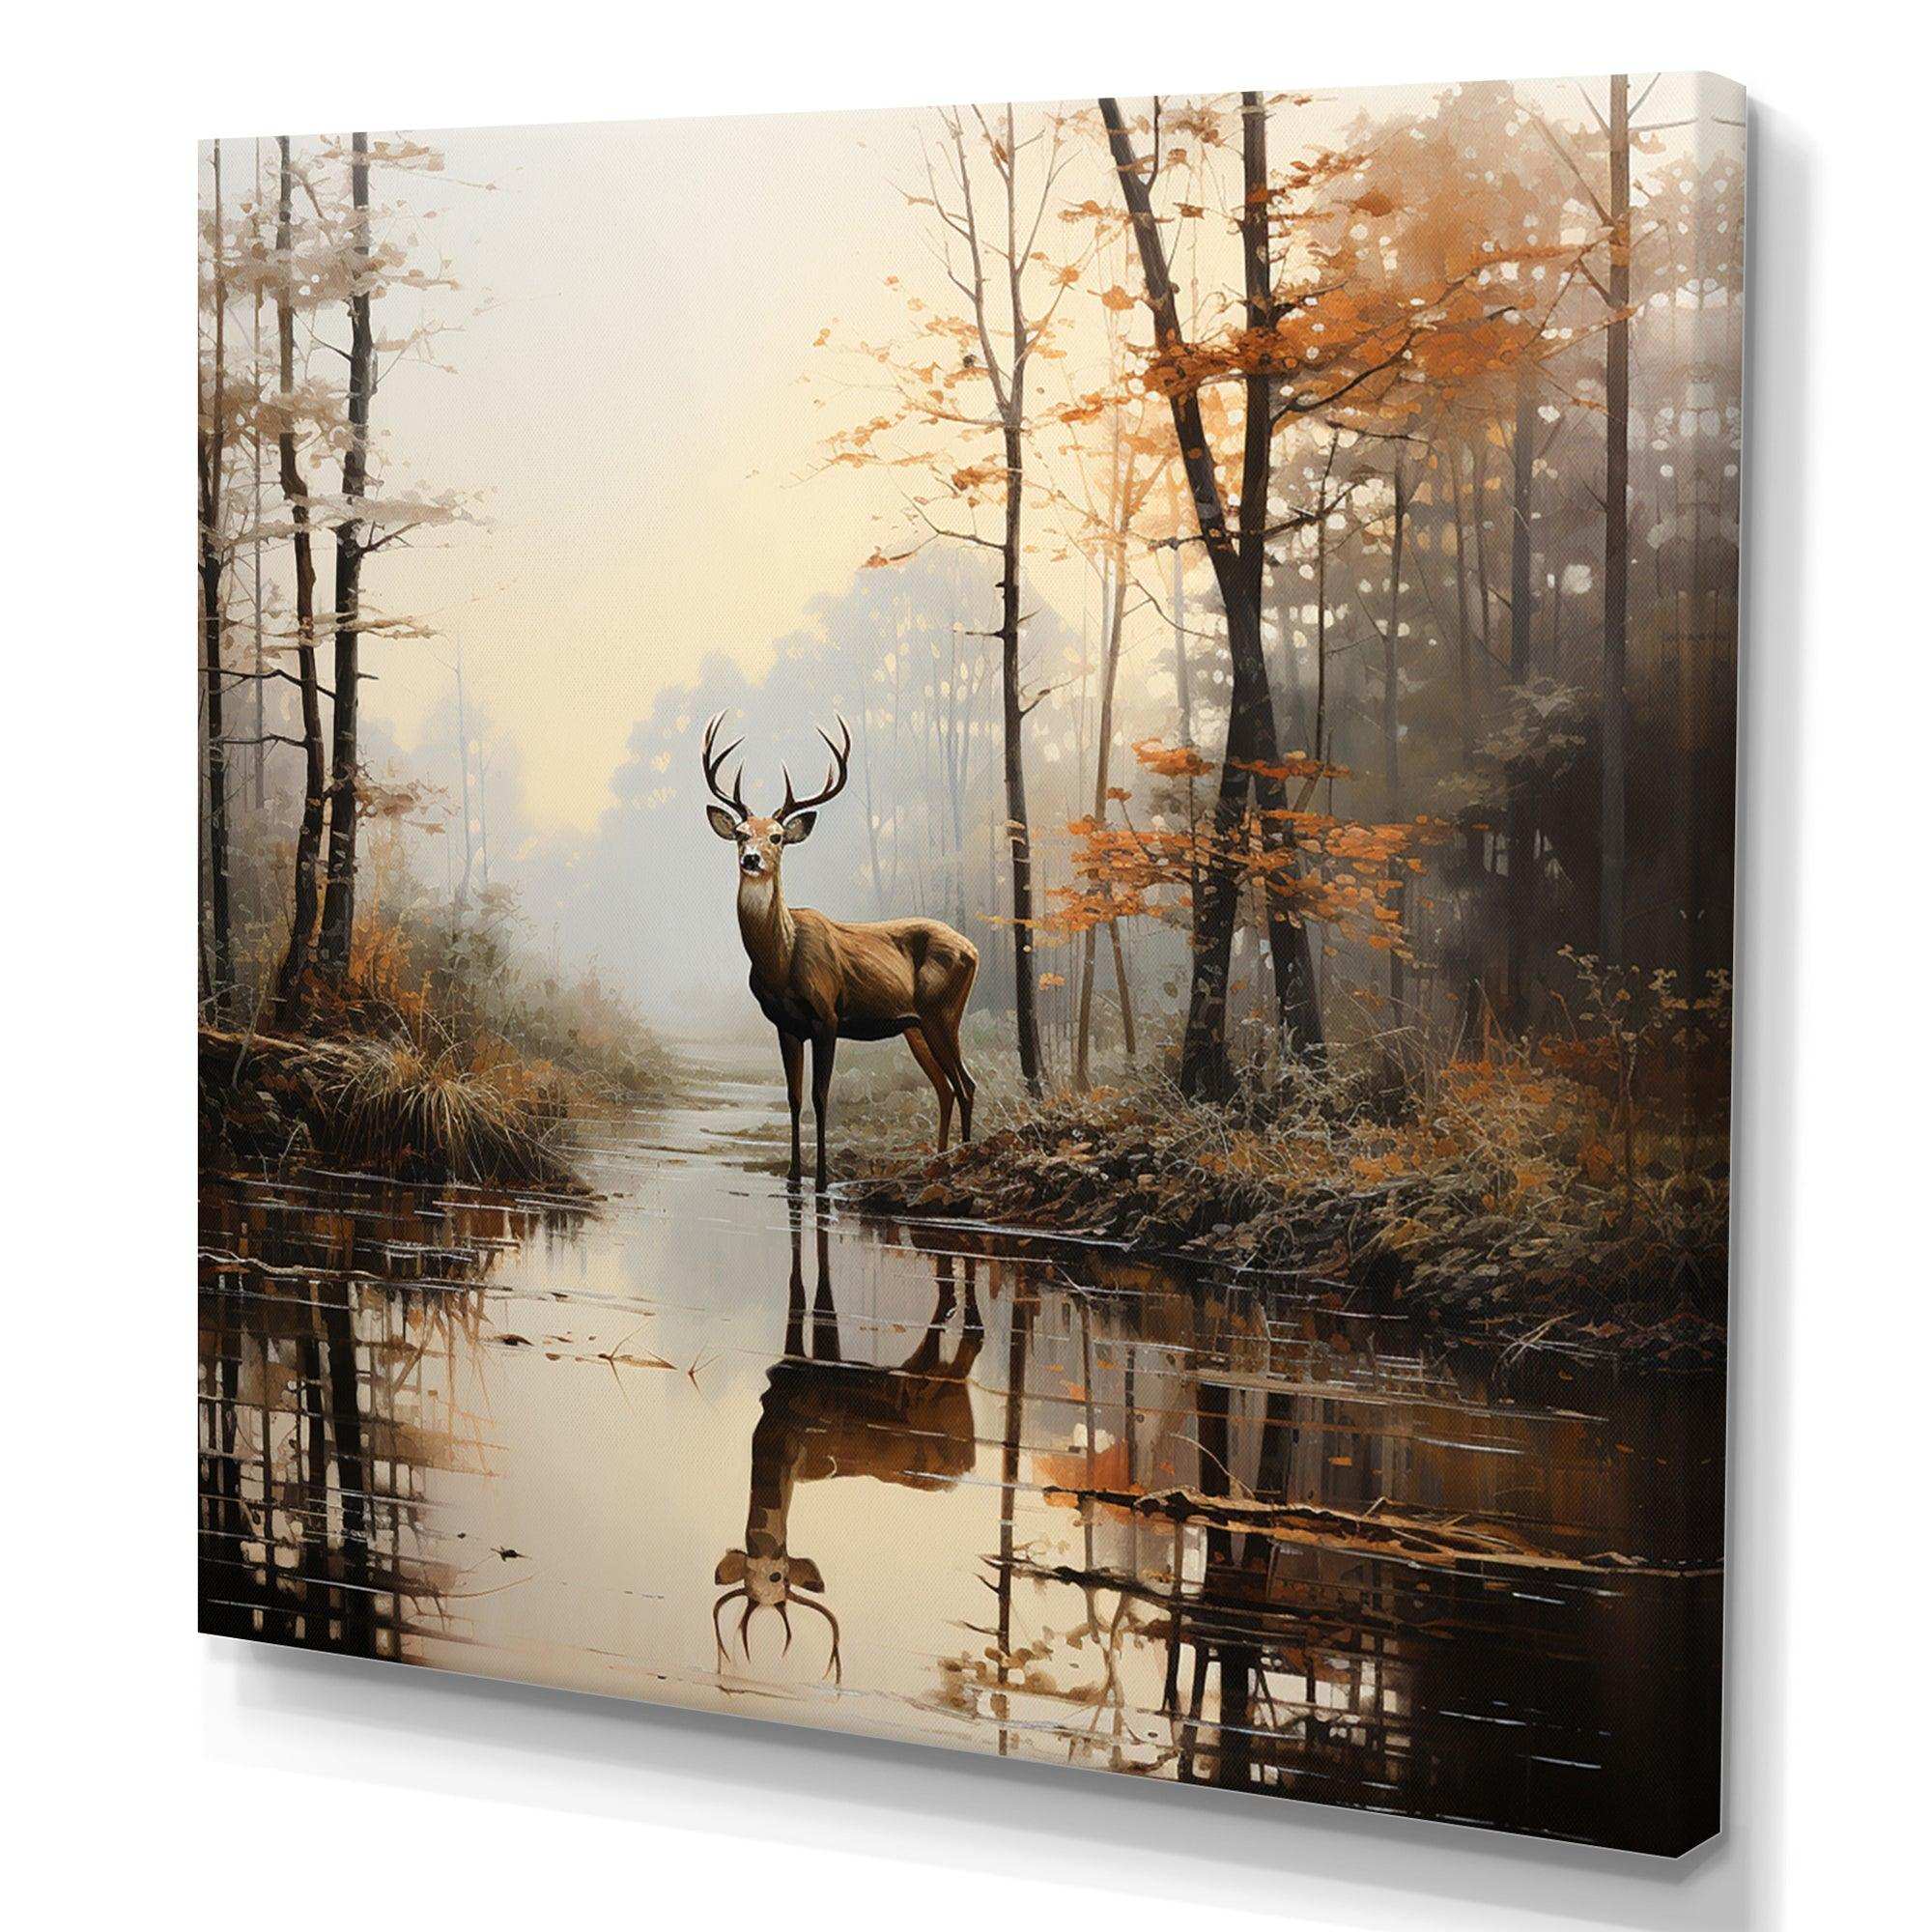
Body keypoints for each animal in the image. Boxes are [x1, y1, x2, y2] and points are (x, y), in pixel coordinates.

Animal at [701, 711, 978, 1188]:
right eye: (739, 833)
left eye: (777, 836)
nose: (750, 858)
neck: (781, 960)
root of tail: (974, 949)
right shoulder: (785, 1025)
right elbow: (793, 1097)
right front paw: (794, 1174)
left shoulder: (827, 1015)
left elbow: (821, 1095)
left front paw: (822, 1179)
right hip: (915, 1025)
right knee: (944, 1087)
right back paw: (937, 1161)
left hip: (943, 1012)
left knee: (965, 1084)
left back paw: (958, 1163)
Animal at [713, 1205, 984, 1683]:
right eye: (750, 1576)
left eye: (781, 1576)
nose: (769, 1561)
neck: (782, 1439)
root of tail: (964, 1463)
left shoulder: (802, 1380)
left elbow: (805, 1293)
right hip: (940, 1386)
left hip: (930, 1389)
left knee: (962, 1341)